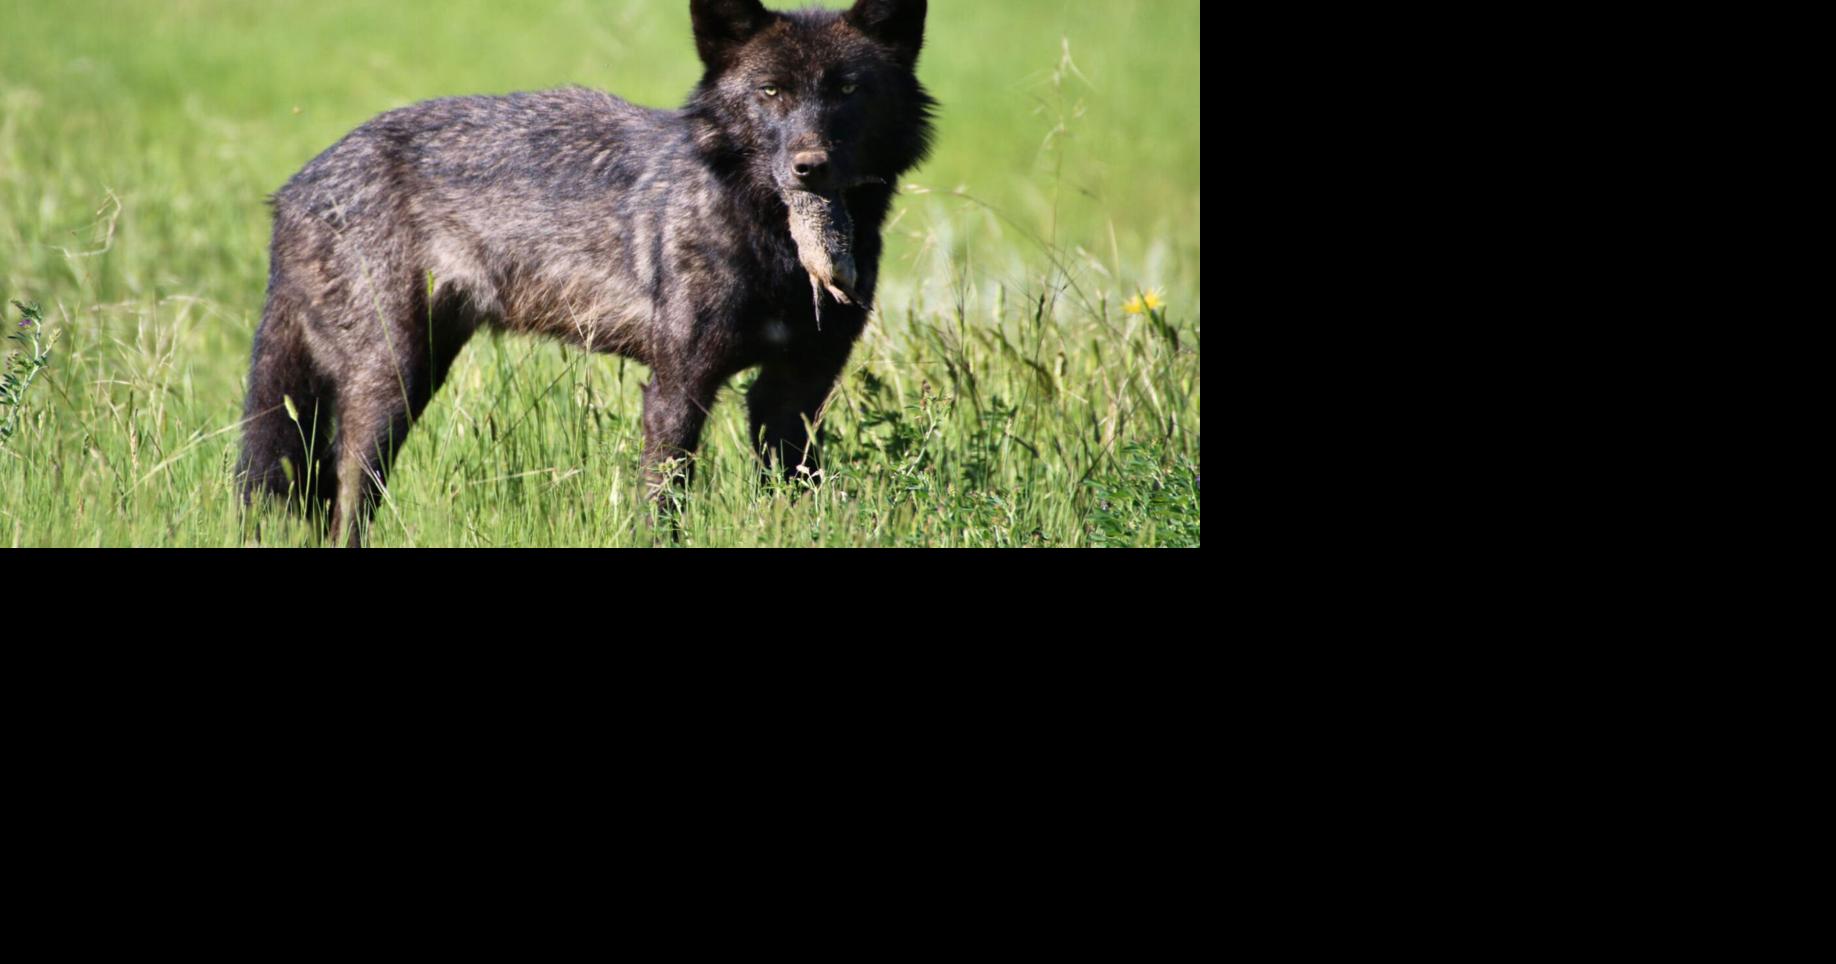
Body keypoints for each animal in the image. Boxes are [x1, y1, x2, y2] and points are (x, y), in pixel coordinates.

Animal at [236, 0, 934, 543]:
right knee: (343, 500)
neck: (772, 247)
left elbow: (795, 493)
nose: (809, 169)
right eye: (771, 92)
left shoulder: (794, 393)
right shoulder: (678, 386)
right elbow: (664, 503)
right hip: (391, 383)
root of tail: (295, 187)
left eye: (847, 90)